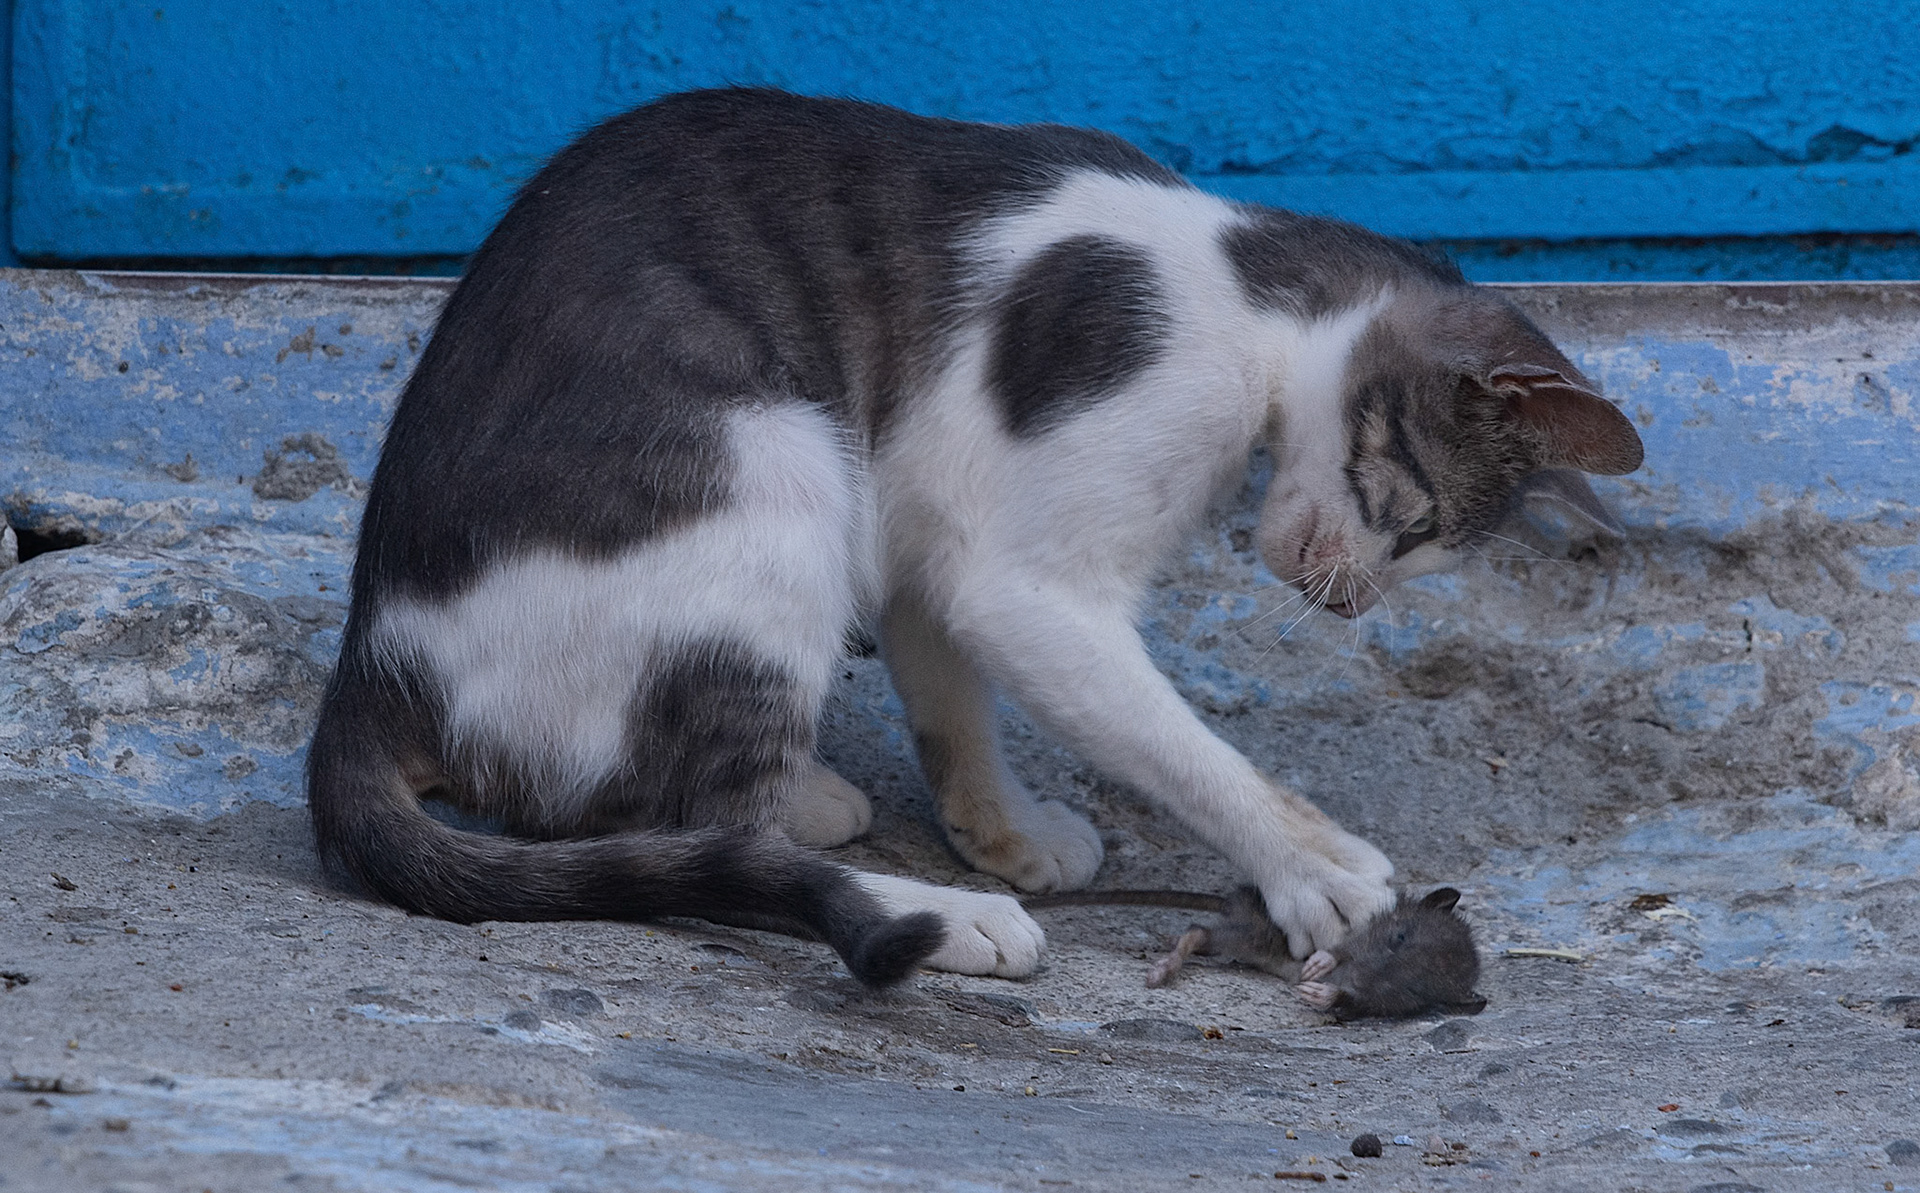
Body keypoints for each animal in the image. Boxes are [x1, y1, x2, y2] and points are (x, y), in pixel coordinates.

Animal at [307, 88, 1643, 986]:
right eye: (1415, 521)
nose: (1349, 603)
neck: (1247, 282)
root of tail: (376, 659)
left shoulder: (929, 518)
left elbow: (953, 696)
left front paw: (999, 828)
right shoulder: (1036, 562)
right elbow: (1178, 743)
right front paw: (1309, 865)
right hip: (776, 463)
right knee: (705, 829)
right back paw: (929, 913)